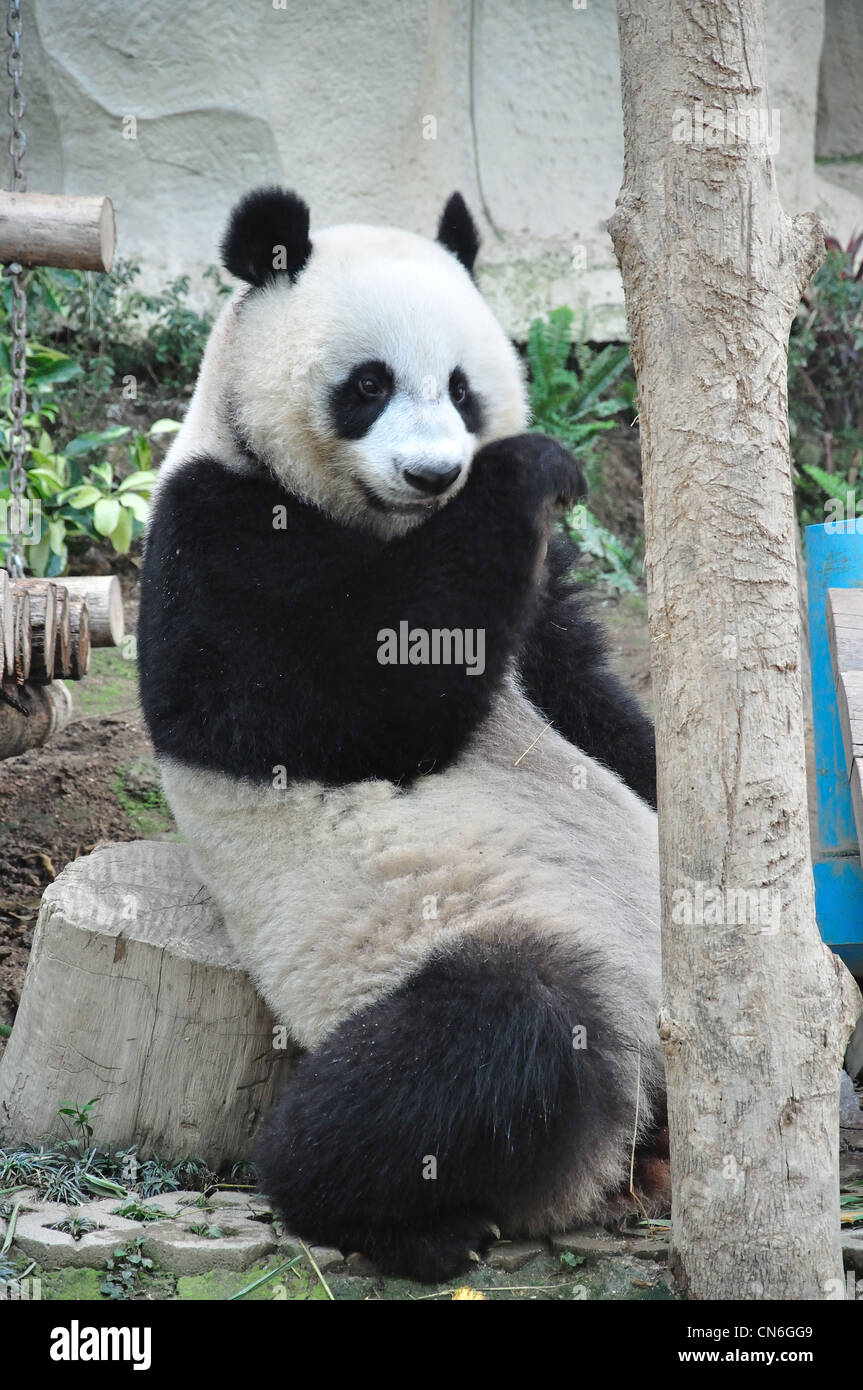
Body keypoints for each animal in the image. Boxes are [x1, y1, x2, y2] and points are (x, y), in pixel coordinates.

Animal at [138, 186, 665, 1283]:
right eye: (368, 384)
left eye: (462, 388)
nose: (434, 473)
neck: (387, 527)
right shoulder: (213, 532)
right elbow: (353, 711)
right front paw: (532, 468)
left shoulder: (535, 602)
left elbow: (585, 697)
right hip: (467, 941)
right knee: (497, 1034)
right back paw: (395, 1217)